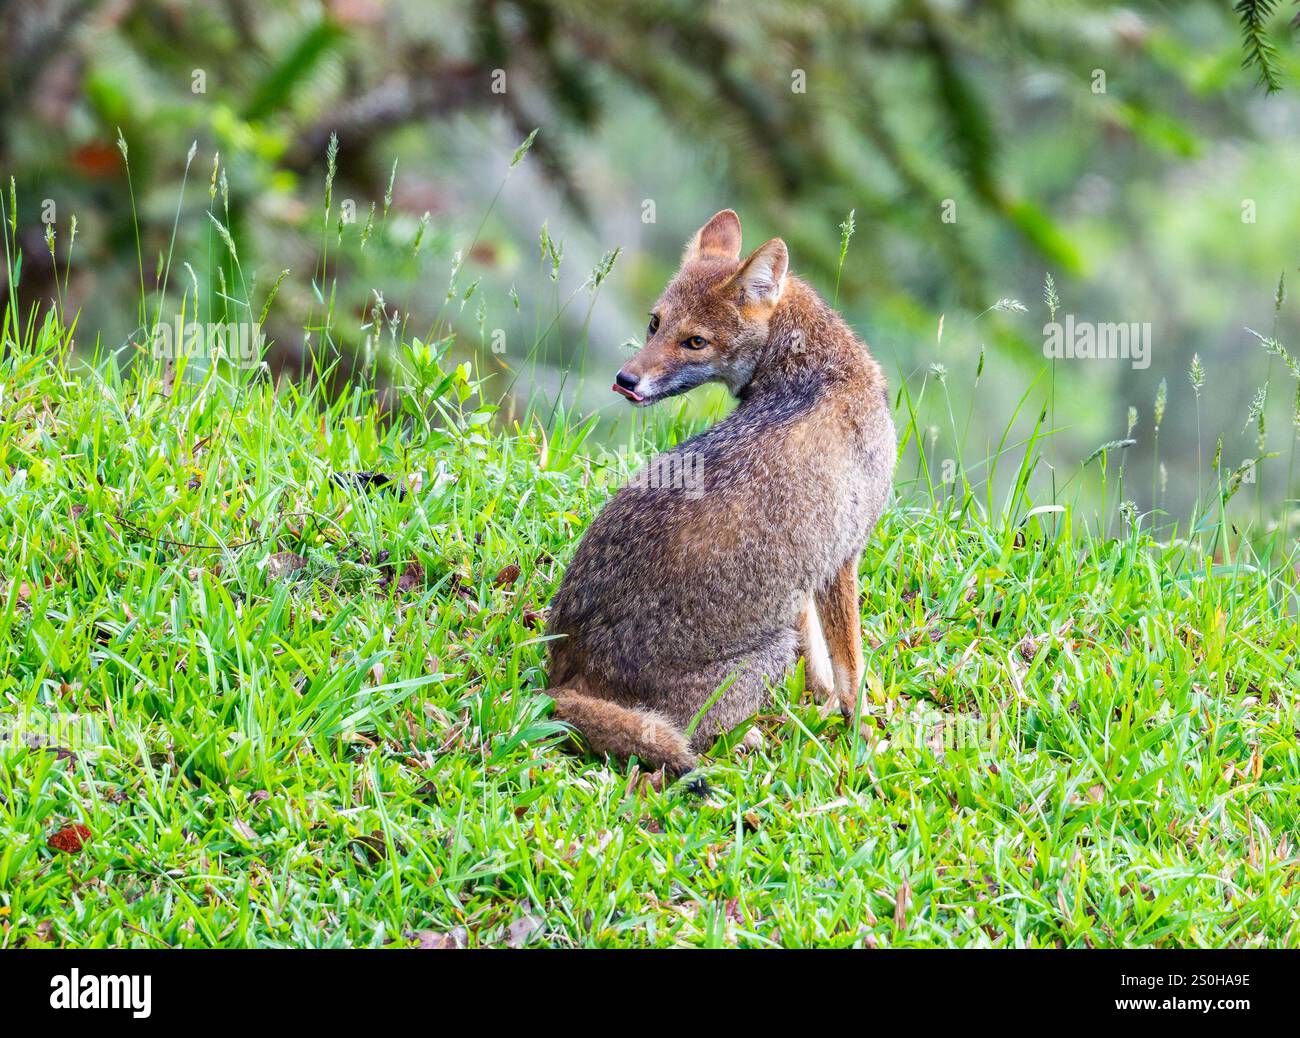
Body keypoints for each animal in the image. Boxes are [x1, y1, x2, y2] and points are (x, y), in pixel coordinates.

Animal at [544, 209, 895, 777]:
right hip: (771, 649)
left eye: (695, 341)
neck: (818, 373)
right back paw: (747, 740)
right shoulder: (842, 558)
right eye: (656, 323)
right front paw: (862, 734)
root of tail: (560, 680)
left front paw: (821, 703)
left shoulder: (806, 573)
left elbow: (822, 663)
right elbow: (851, 669)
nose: (626, 379)